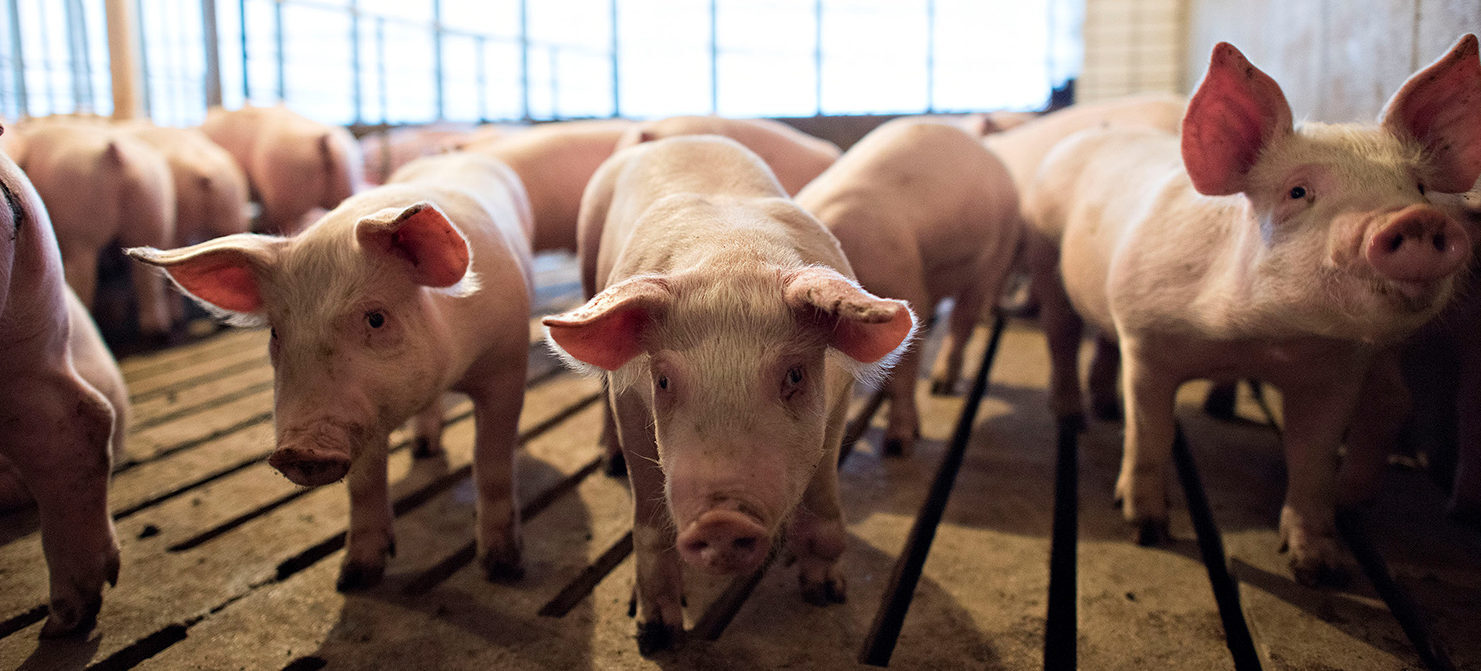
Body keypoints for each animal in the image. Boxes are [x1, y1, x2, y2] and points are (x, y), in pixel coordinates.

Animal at [19, 121, 177, 339]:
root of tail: (116, 154)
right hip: (152, 209)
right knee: (147, 280)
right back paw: (157, 331)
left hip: (82, 230)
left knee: (86, 280)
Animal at [126, 151, 535, 589]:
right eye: (276, 331)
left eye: (376, 319)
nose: (300, 449)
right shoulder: (368, 417)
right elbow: (364, 486)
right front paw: (354, 577)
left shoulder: (507, 366)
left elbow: (491, 464)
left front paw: (504, 568)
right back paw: (423, 449)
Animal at [542, 135, 916, 653]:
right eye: (663, 381)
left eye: (795, 376)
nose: (721, 521)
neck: (731, 254)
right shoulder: (629, 400)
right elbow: (649, 523)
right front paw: (653, 635)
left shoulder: (838, 402)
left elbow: (823, 504)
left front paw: (826, 595)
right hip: (585, 257)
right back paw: (609, 464)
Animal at [796, 118, 1022, 456]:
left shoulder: (906, 286)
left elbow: (904, 371)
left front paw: (898, 445)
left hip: (995, 255)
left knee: (963, 323)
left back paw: (942, 386)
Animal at [1022, 36, 1481, 584]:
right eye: (1298, 191)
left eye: (1418, 187)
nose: (1414, 219)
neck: (1258, 339)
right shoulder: (1145, 337)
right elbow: (1150, 433)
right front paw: (1147, 530)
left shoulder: (1335, 370)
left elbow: (1312, 461)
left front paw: (1318, 568)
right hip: (1046, 257)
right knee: (1061, 334)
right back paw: (1076, 417)